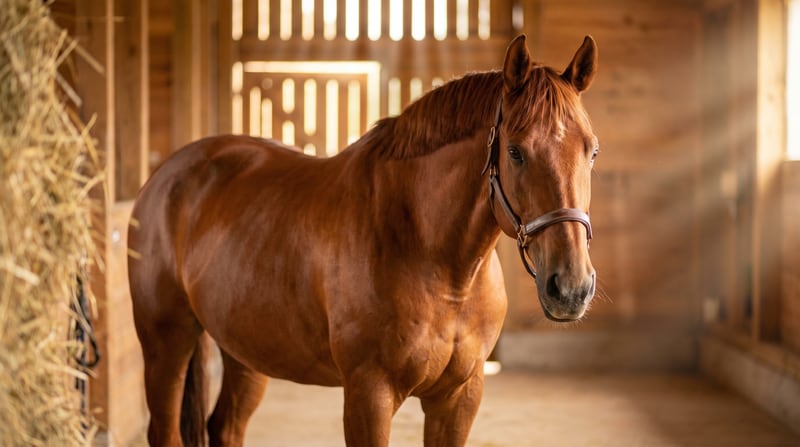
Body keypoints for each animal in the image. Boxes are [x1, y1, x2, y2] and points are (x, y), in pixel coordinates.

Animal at [128, 34, 599, 447]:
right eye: (515, 151)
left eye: (591, 150)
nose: (571, 288)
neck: (440, 266)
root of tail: (167, 174)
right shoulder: (369, 394)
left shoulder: (459, 397)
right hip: (166, 344)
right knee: (165, 430)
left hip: (245, 351)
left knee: (225, 427)